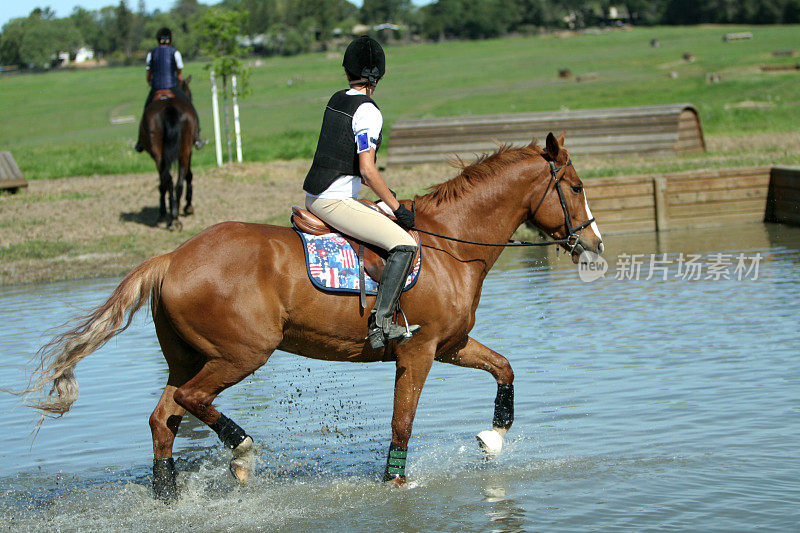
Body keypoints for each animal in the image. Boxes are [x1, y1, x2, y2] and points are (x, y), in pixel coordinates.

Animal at [25, 132, 604, 498]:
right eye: (576, 188)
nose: (595, 245)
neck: (449, 245)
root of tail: (171, 257)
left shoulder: (451, 344)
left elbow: (504, 367)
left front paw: (494, 439)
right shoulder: (417, 352)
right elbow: (402, 422)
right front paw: (397, 483)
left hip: (187, 356)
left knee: (163, 417)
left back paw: (168, 497)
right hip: (241, 354)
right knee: (190, 401)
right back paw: (242, 452)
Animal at [140, 76, 198, 230]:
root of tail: (169, 106)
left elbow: (164, 182)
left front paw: (164, 212)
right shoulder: (188, 151)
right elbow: (188, 175)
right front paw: (187, 206)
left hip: (160, 153)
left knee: (169, 180)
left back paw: (172, 216)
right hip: (183, 150)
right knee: (177, 181)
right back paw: (175, 217)